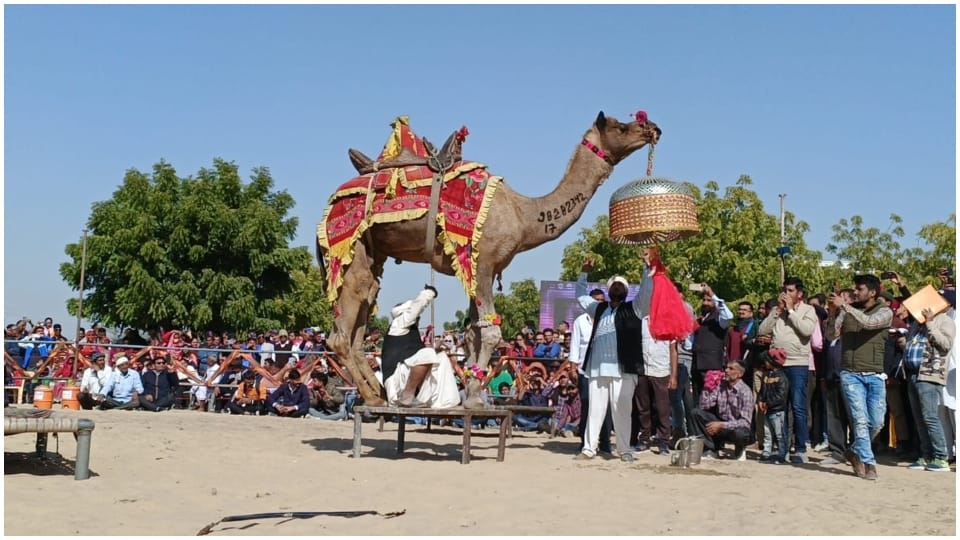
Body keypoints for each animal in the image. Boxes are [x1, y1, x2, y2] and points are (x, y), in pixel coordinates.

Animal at [317, 112, 661, 406]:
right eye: (620, 127)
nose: (652, 127)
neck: (523, 215)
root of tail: (327, 208)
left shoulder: (480, 269)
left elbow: (474, 334)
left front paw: (473, 394)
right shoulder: (481, 264)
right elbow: (492, 332)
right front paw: (473, 397)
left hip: (370, 253)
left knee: (363, 311)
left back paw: (378, 393)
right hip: (347, 246)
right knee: (342, 329)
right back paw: (374, 397)